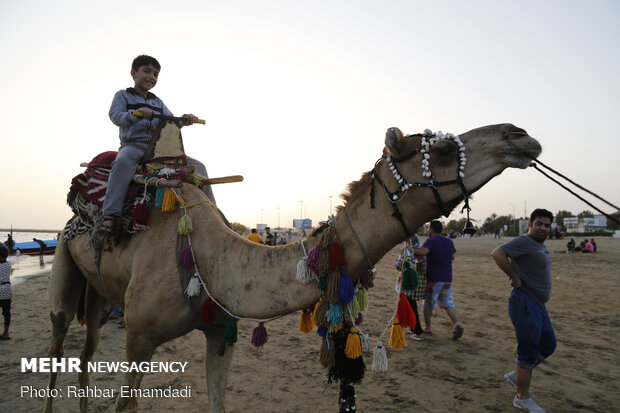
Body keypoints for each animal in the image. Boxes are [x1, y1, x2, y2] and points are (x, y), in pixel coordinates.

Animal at [43, 120, 540, 410]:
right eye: (441, 150)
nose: (520, 135)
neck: (207, 255)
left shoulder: (220, 333)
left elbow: (218, 401)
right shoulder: (140, 338)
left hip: (100, 294)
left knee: (86, 351)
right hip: (66, 259)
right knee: (59, 337)